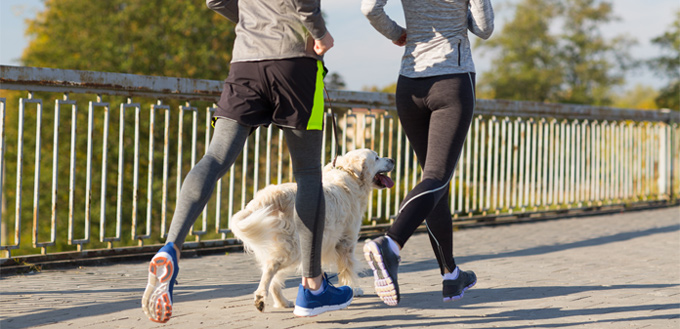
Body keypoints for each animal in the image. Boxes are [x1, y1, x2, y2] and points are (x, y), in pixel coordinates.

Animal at [231, 148, 396, 310]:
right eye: (376, 157)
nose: (392, 160)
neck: (349, 175)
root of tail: (269, 196)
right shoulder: (346, 242)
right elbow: (347, 269)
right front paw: (353, 289)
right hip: (293, 248)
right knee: (271, 268)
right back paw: (260, 297)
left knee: (274, 278)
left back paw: (283, 302)